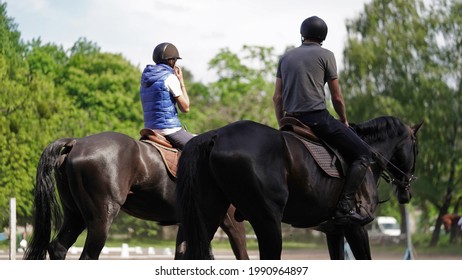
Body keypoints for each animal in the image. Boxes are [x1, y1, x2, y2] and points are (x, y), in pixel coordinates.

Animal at [23, 132, 249, 260]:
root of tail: (76, 143)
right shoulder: (222, 220)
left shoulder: (190, 223)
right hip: (101, 218)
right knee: (89, 255)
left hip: (75, 215)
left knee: (58, 248)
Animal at [177, 115, 422, 260]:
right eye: (416, 149)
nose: (407, 192)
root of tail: (216, 135)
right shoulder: (356, 228)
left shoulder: (334, 231)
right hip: (267, 221)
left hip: (209, 215)